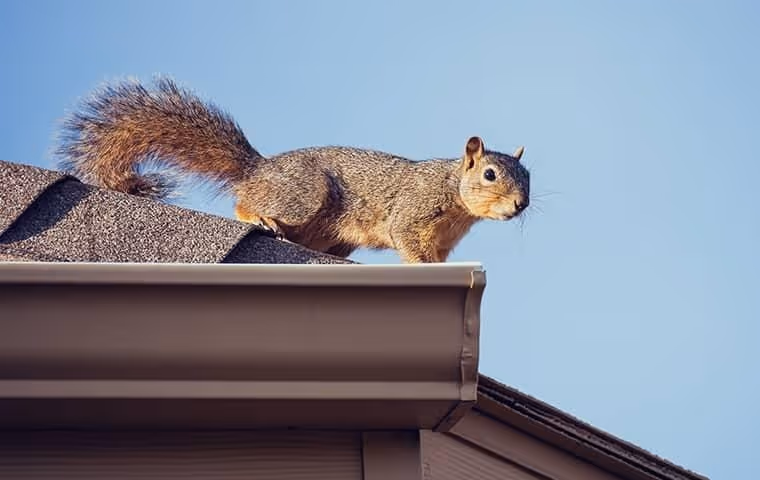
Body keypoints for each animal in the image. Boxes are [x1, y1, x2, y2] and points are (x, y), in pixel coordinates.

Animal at [56, 77, 530, 263]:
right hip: (304, 195)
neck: (454, 193)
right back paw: (259, 216)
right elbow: (408, 241)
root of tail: (259, 169)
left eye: (529, 178)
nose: (520, 205)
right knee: (244, 202)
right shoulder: (413, 211)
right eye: (490, 174)